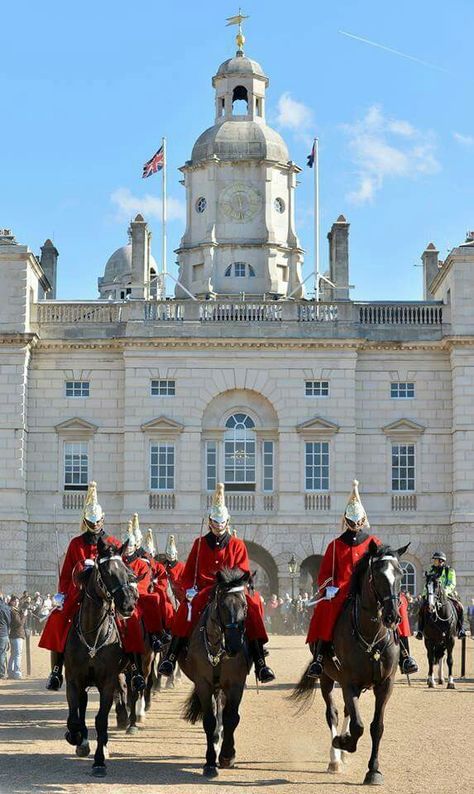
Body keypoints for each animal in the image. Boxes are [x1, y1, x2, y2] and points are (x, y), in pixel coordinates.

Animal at [63, 540, 137, 772]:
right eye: (107, 572)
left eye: (128, 572)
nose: (128, 605)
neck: (92, 634)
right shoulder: (74, 679)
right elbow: (75, 717)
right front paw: (77, 738)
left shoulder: (107, 681)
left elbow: (101, 719)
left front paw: (99, 760)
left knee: (129, 692)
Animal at [181, 568, 252, 776]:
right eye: (222, 605)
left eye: (245, 605)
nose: (235, 646)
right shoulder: (203, 684)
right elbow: (209, 720)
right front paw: (210, 762)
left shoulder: (236, 684)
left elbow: (231, 718)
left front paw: (227, 755)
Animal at [292, 540, 408, 784]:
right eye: (377, 574)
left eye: (401, 574)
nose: (392, 617)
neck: (371, 633)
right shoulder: (349, 683)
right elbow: (358, 725)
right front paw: (342, 742)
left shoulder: (385, 685)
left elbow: (376, 727)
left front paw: (373, 770)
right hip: (326, 678)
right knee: (333, 713)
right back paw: (335, 757)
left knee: (346, 711)